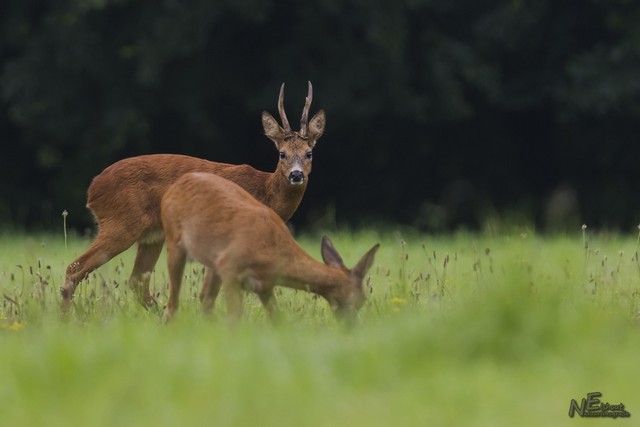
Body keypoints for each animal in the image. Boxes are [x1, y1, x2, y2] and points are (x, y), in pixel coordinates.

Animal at [62, 81, 324, 308]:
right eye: (282, 153)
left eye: (309, 152)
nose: (296, 175)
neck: (265, 193)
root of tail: (93, 189)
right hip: (121, 224)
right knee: (74, 268)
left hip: (151, 235)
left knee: (136, 281)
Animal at [160, 172, 380, 322]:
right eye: (360, 300)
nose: (352, 326)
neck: (273, 254)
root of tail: (175, 185)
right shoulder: (230, 266)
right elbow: (234, 316)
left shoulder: (264, 285)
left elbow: (277, 318)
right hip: (174, 241)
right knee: (173, 303)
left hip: (212, 262)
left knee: (205, 299)